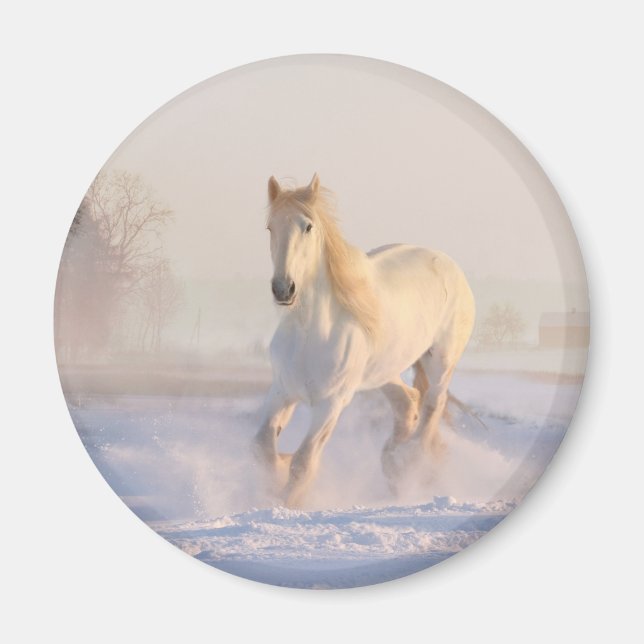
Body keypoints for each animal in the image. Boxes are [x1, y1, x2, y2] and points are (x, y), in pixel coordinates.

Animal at [253, 174, 475, 508]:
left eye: (308, 226)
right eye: (270, 227)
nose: (283, 289)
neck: (310, 333)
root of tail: (450, 265)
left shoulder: (331, 403)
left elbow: (303, 462)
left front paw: (287, 502)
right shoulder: (282, 391)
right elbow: (263, 447)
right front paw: (277, 475)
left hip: (440, 361)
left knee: (432, 405)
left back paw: (409, 464)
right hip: (382, 372)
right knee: (408, 402)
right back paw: (393, 463)